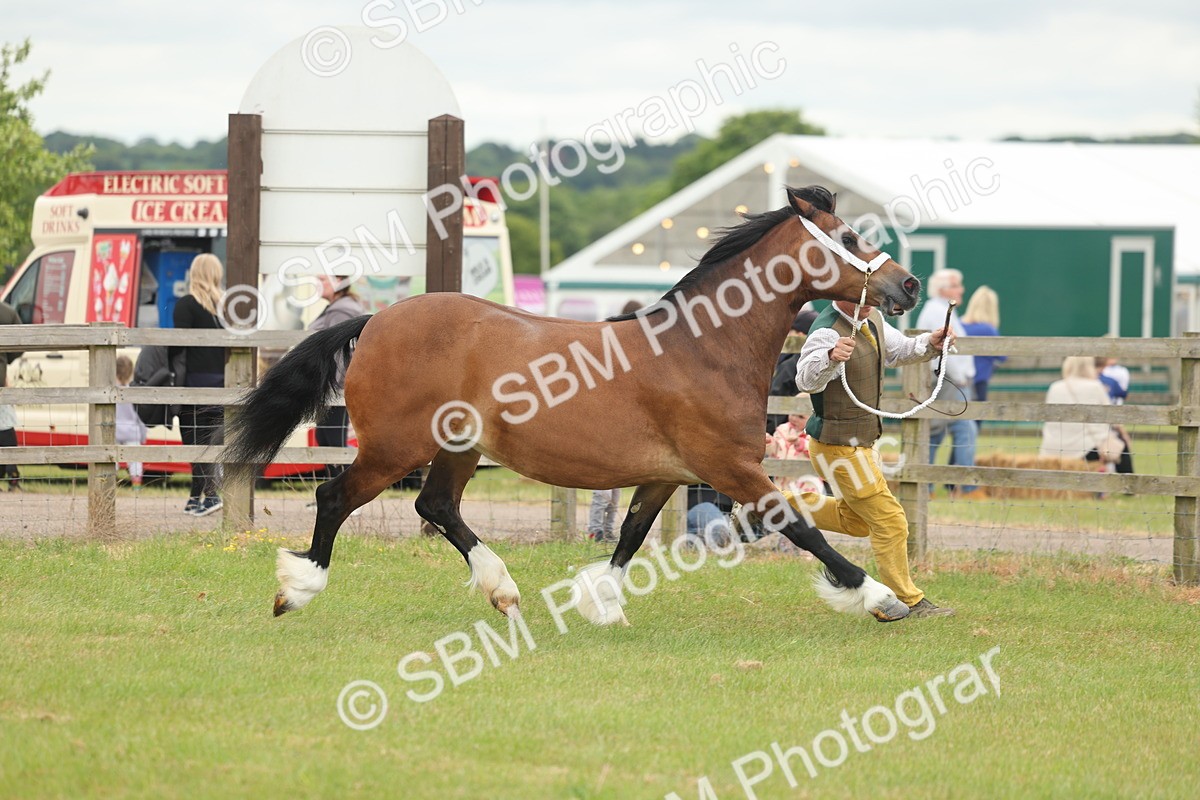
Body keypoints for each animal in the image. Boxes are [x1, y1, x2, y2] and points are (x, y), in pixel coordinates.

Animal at [223, 185, 923, 625]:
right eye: (850, 235)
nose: (909, 285)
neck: (701, 348)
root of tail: (375, 319)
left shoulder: (666, 476)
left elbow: (631, 534)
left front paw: (600, 600)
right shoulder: (730, 469)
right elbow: (801, 528)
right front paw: (880, 598)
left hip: (459, 448)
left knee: (436, 506)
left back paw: (504, 593)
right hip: (398, 447)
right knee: (335, 497)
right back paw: (298, 589)